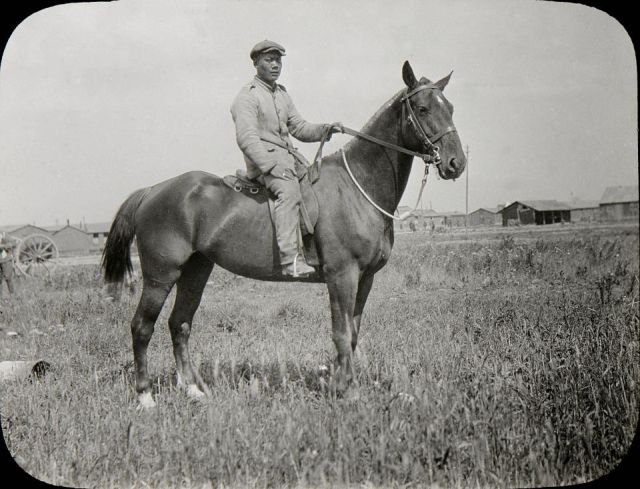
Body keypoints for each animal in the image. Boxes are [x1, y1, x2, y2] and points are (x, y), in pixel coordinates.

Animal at [102, 61, 468, 408]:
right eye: (422, 108)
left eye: (451, 107)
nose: (456, 163)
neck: (356, 187)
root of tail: (152, 191)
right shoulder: (342, 276)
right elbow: (340, 332)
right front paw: (348, 392)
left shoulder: (365, 279)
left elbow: (352, 333)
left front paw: (341, 384)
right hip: (161, 275)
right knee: (142, 327)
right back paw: (145, 396)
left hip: (195, 270)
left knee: (179, 324)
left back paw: (193, 390)